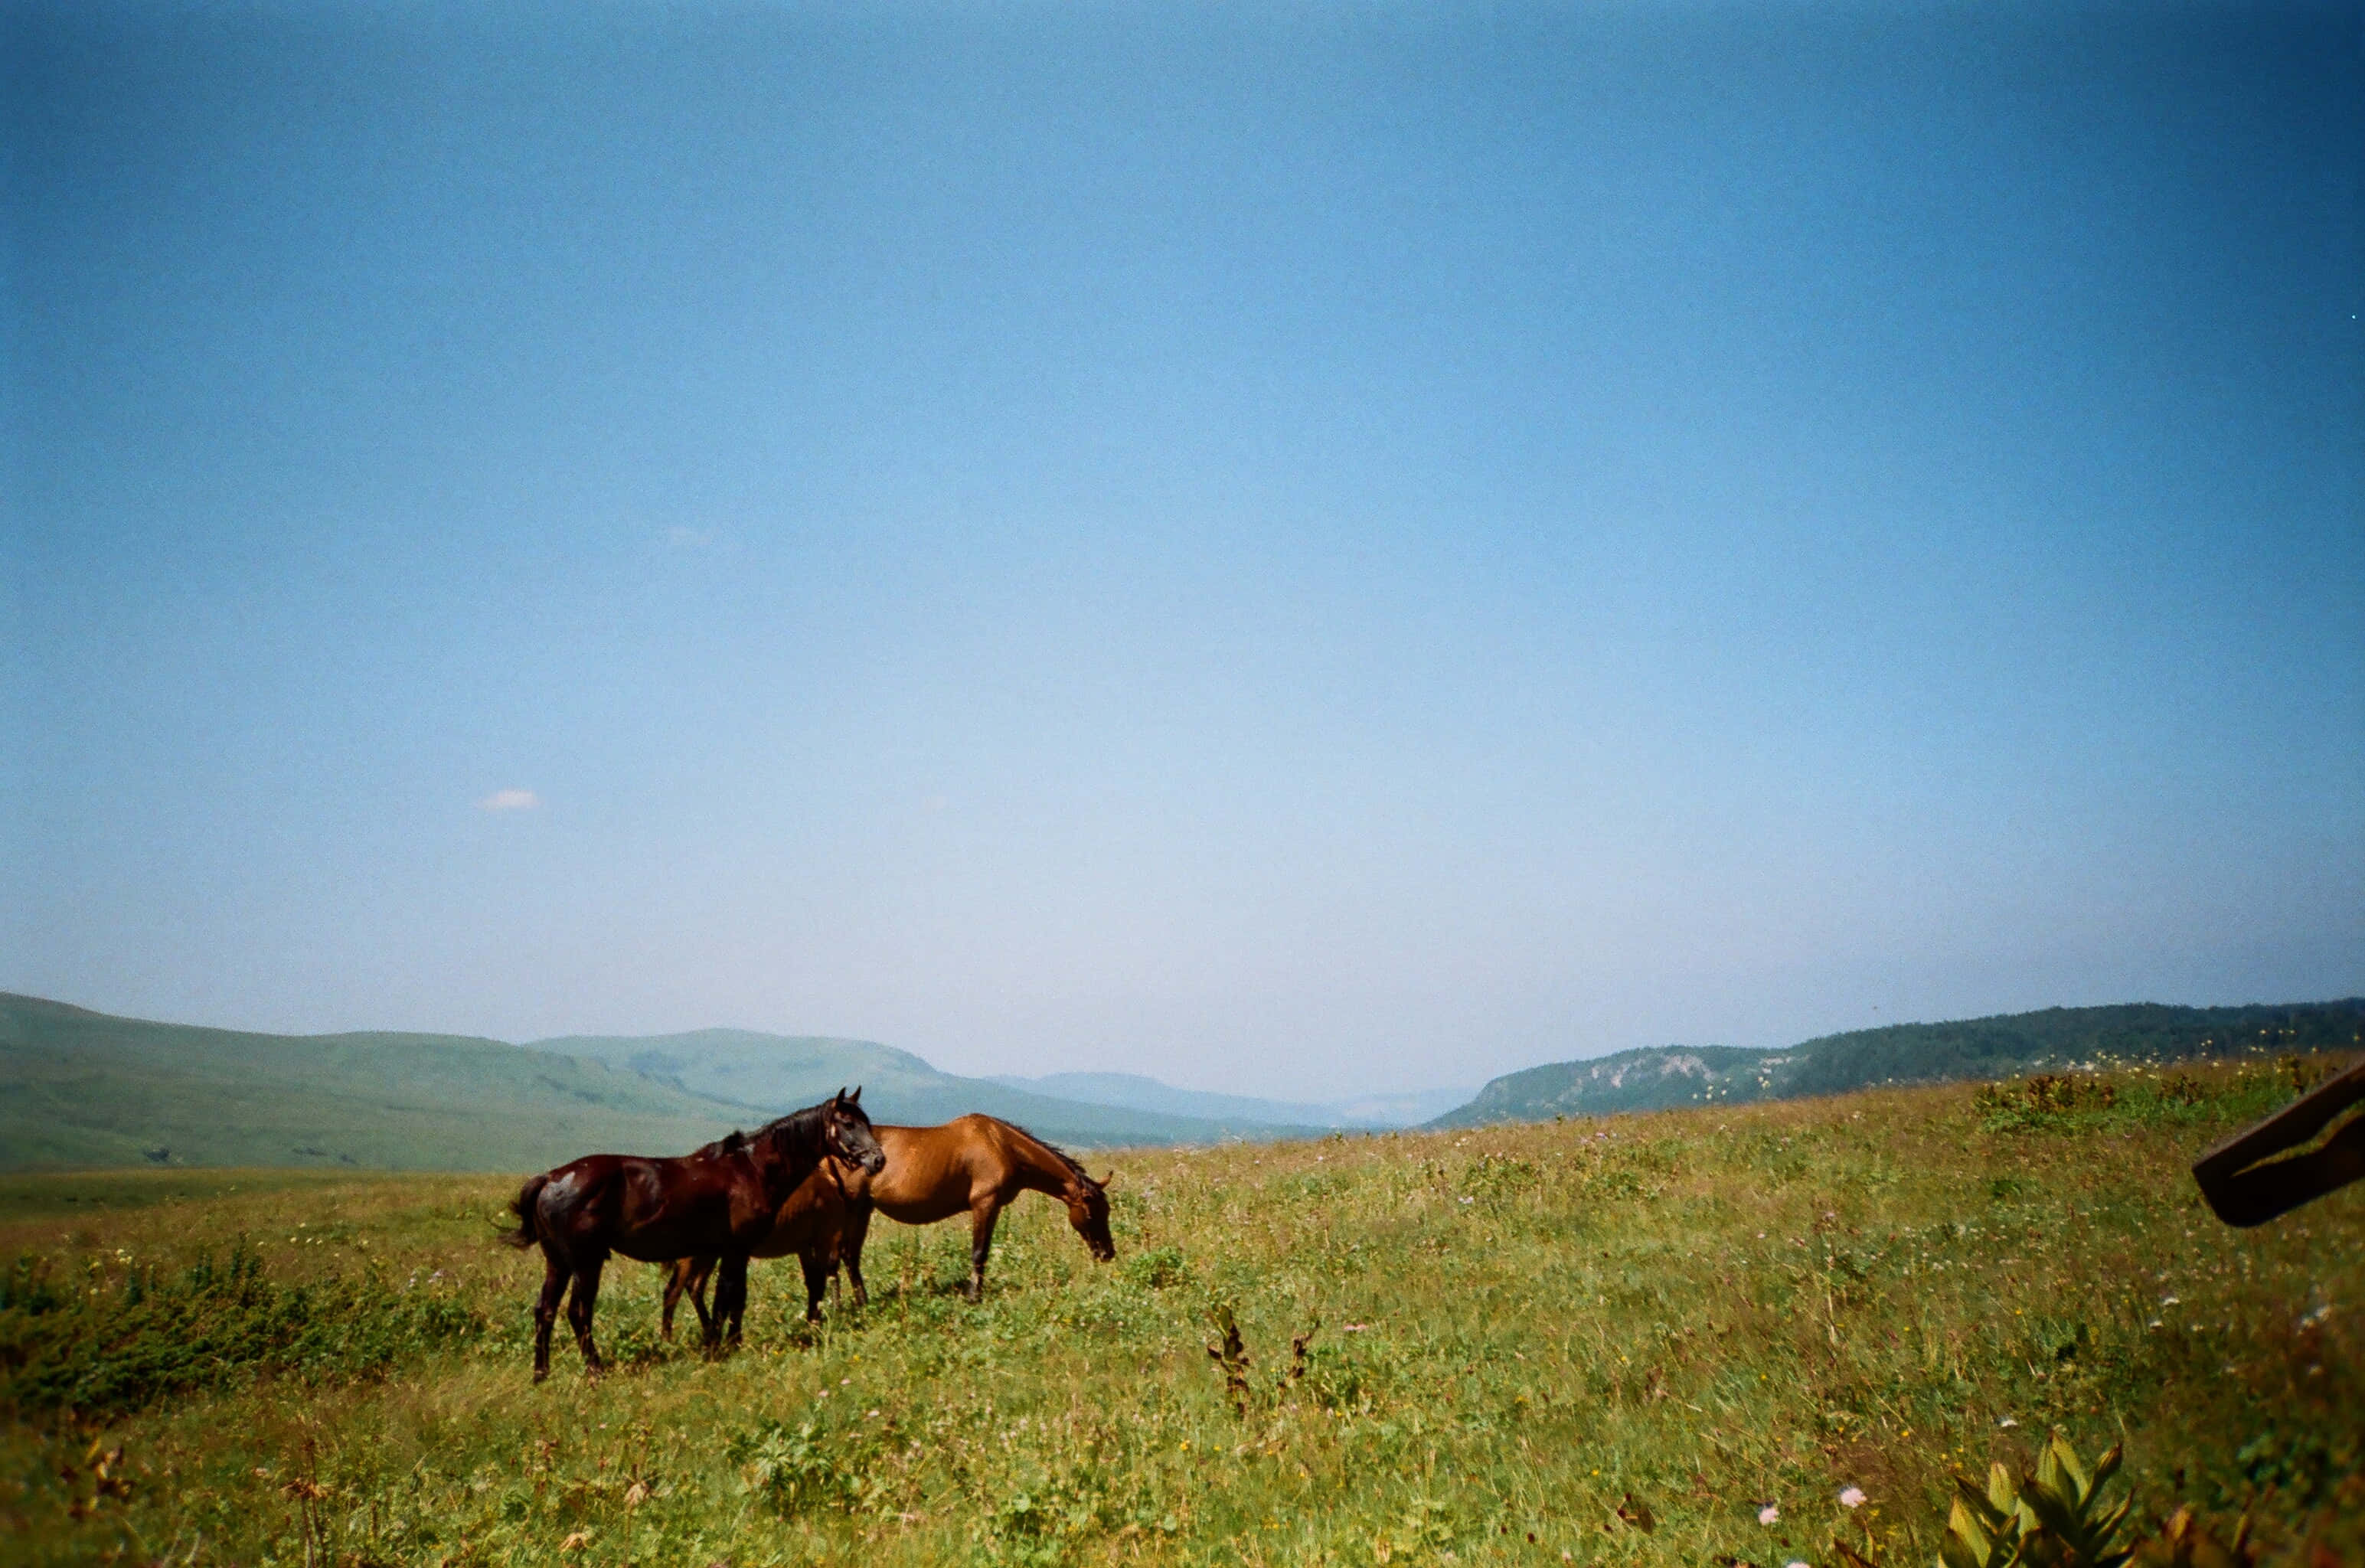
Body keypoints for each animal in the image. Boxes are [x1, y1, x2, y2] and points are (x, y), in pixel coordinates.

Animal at [837, 1114, 1115, 1303]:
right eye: (1093, 1212)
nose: (1107, 1253)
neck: (1002, 1145)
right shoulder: (985, 1204)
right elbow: (979, 1253)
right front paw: (974, 1297)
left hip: (863, 1210)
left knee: (849, 1257)